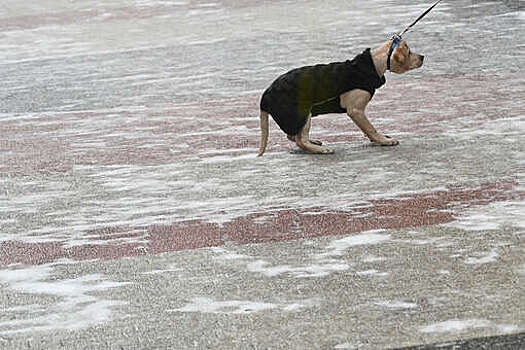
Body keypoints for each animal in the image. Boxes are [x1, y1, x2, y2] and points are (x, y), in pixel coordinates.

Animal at [256, 38, 424, 156]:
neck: (373, 64)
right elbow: (370, 128)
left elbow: (367, 128)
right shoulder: (355, 110)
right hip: (302, 113)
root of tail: (266, 95)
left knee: (293, 136)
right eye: (409, 52)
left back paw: (313, 142)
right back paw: (319, 150)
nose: (422, 57)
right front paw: (383, 140)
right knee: (299, 140)